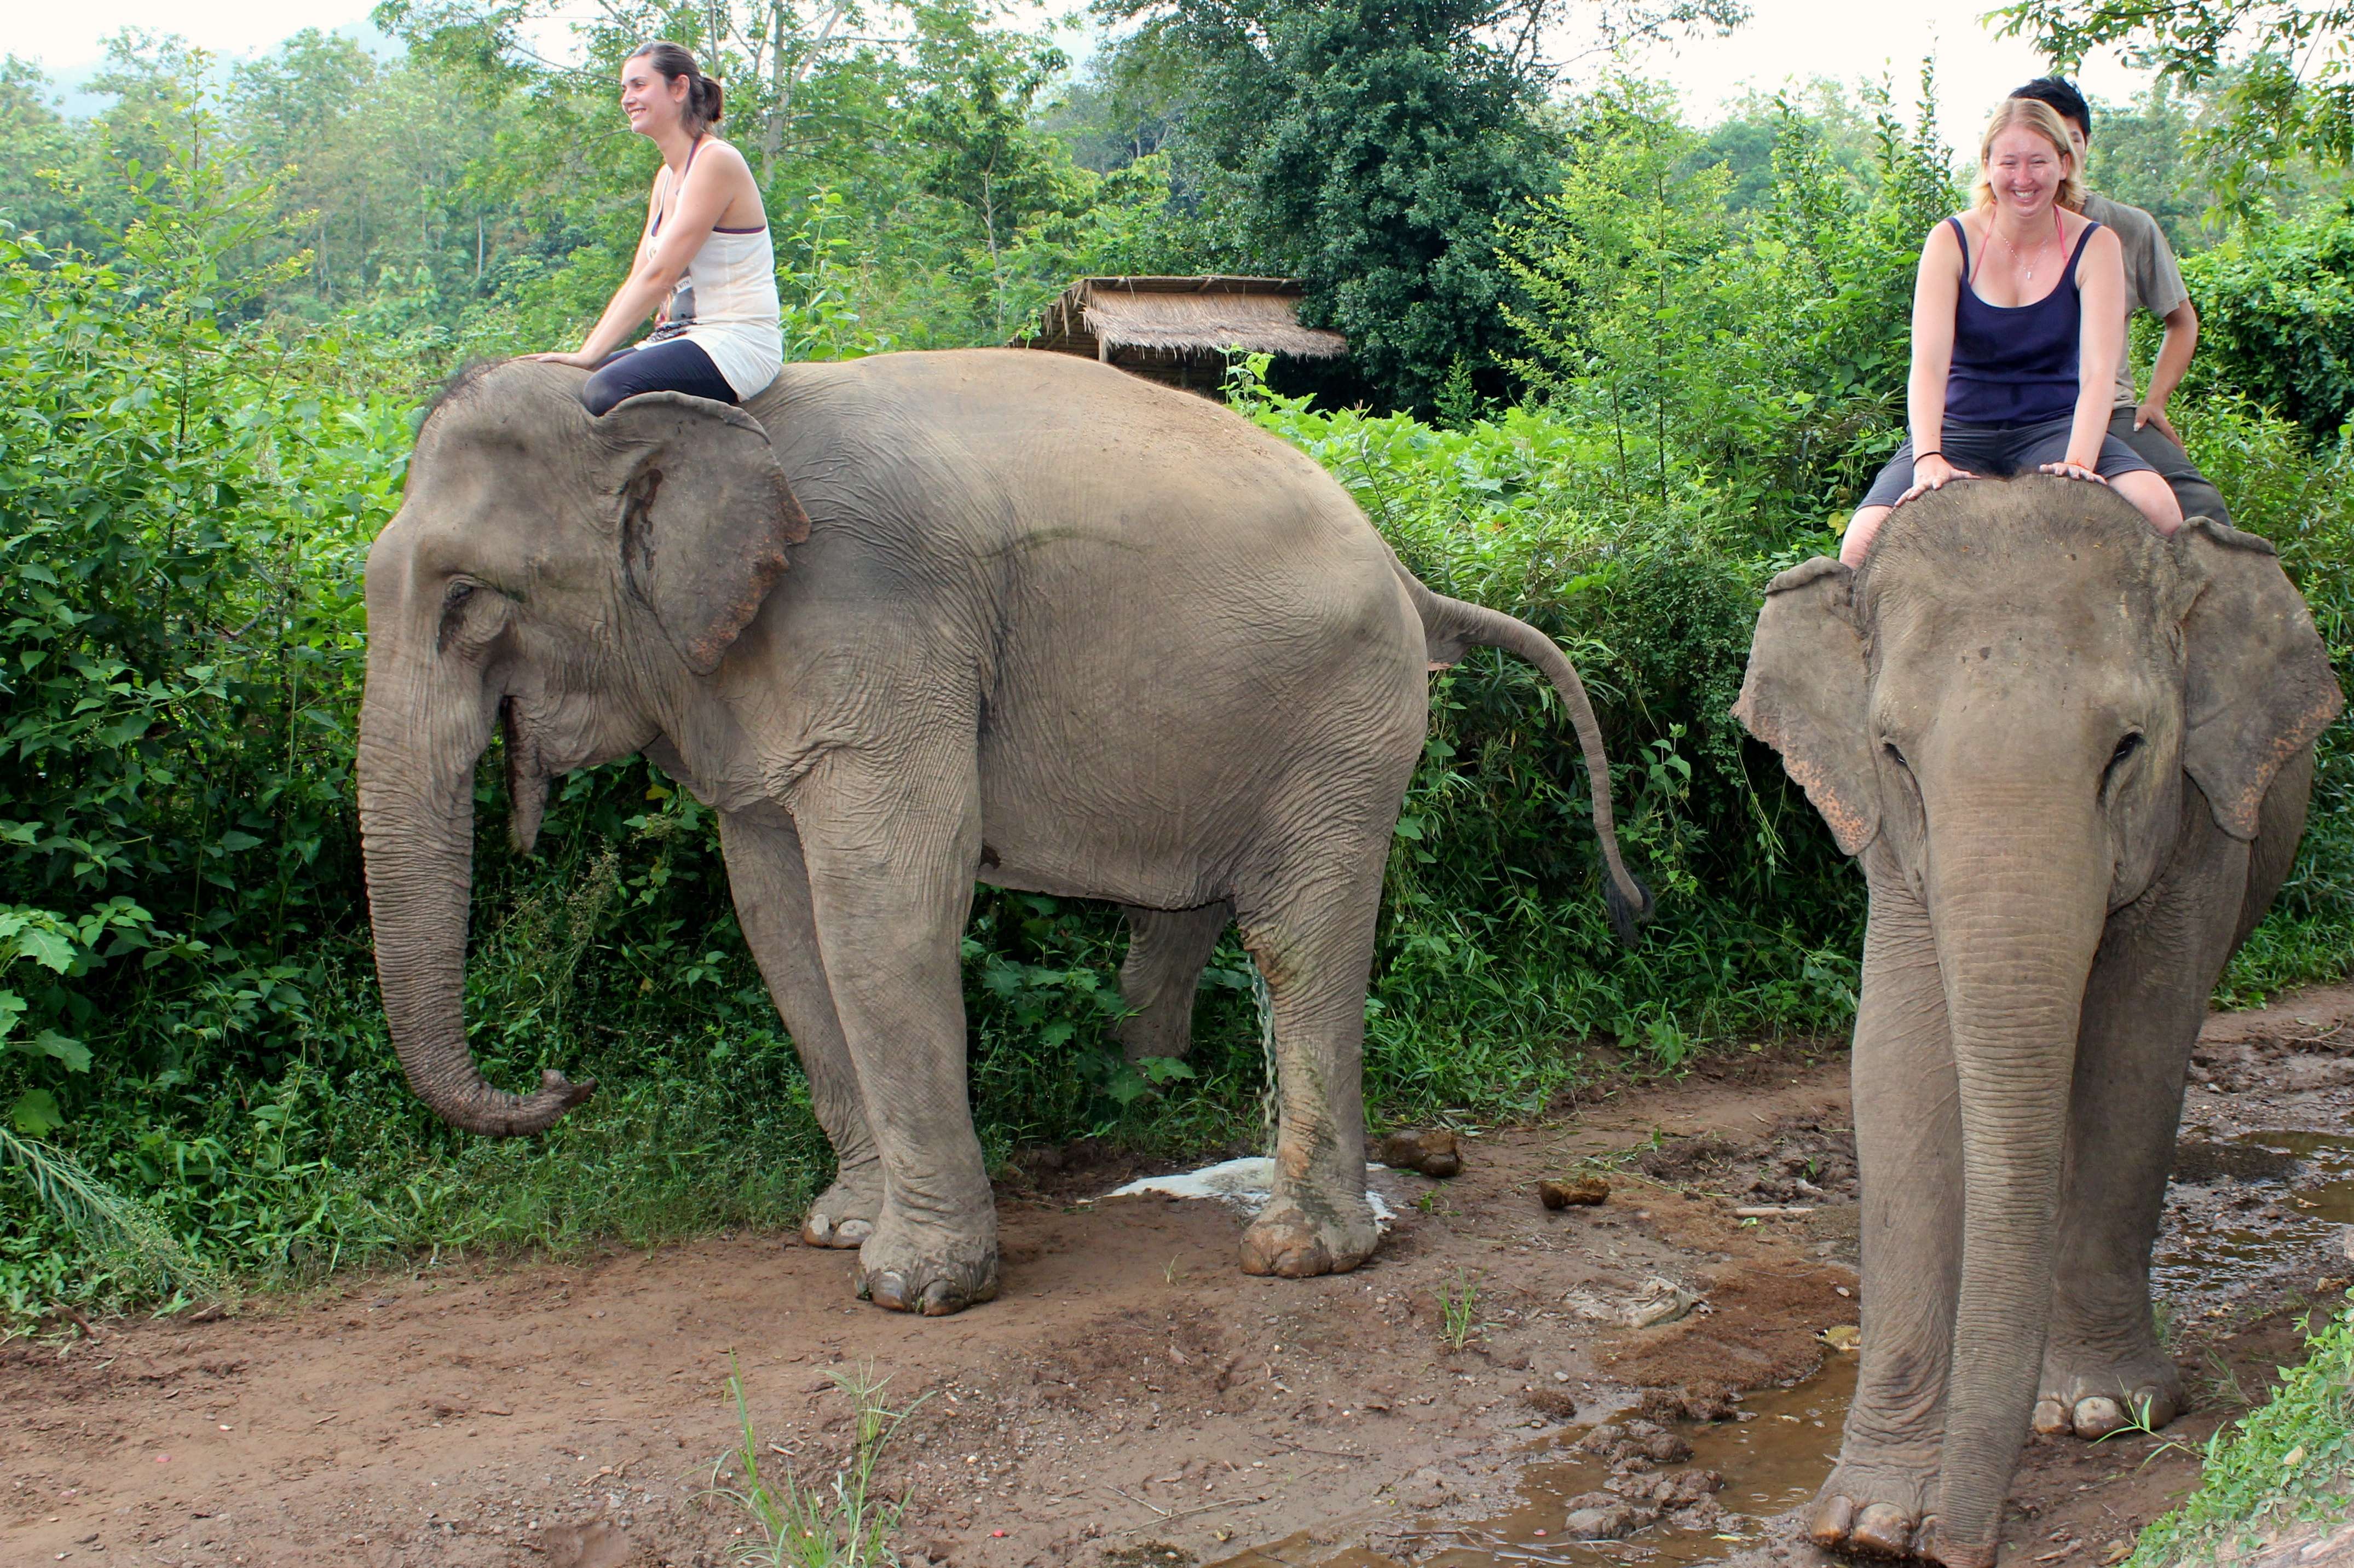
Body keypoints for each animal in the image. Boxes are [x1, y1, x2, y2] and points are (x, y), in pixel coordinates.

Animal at [358, 350, 1648, 1317]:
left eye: (468, 603)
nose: (561, 1076)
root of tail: (1409, 574)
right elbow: (777, 921)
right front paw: (839, 1229)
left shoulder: (879, 625)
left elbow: (884, 910)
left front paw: (914, 1288)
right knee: (1187, 916)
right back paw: (1146, 1109)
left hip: (1348, 721)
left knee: (1298, 938)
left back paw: (1298, 1253)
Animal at [1734, 478, 2341, 1567]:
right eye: (1893, 754)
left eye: (2129, 749)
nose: (1956, 1549)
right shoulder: (1893, 843)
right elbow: (1897, 1068)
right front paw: (1868, 1524)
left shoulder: (2198, 819)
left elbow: (2139, 1042)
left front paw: (2105, 1413)